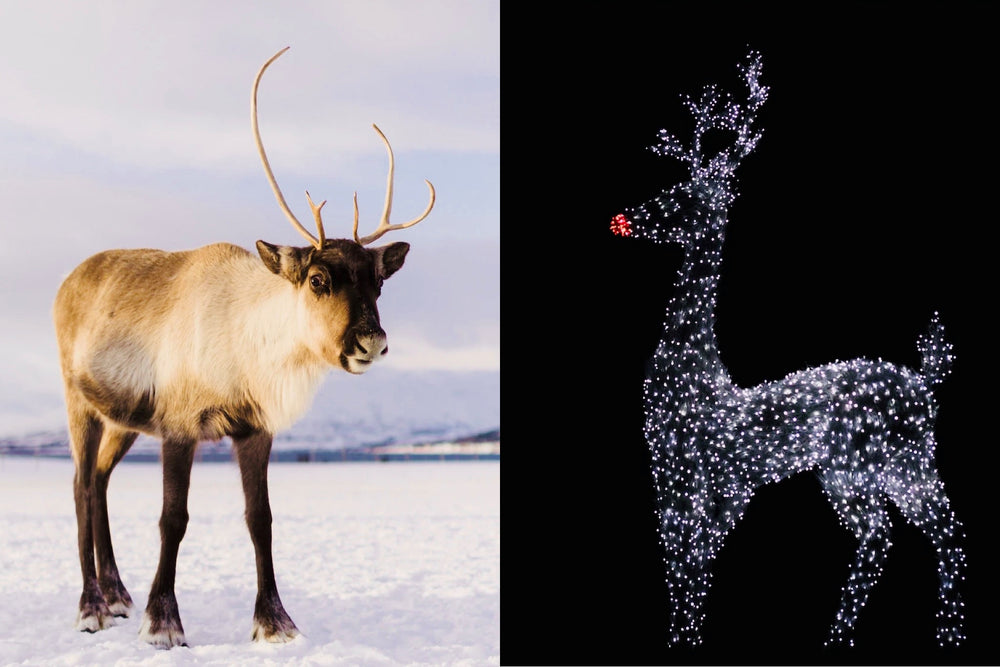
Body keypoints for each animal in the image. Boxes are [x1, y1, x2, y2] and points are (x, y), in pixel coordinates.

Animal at [52, 46, 434, 649]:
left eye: (378, 281)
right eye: (318, 278)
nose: (371, 341)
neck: (251, 350)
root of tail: (66, 282)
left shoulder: (255, 429)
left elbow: (262, 519)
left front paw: (276, 622)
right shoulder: (181, 423)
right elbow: (173, 518)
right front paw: (163, 624)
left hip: (122, 420)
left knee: (100, 480)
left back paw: (116, 595)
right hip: (78, 401)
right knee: (79, 486)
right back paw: (91, 606)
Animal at [610, 51, 965, 649]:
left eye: (682, 197)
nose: (623, 219)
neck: (691, 372)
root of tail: (925, 381)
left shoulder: (689, 470)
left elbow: (688, 565)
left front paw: (683, 637)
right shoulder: (701, 477)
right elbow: (687, 564)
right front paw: (683, 635)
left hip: (883, 460)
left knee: (926, 529)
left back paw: (925, 635)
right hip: (866, 469)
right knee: (902, 534)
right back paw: (868, 636)